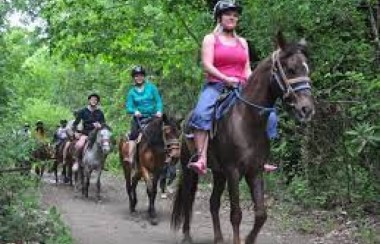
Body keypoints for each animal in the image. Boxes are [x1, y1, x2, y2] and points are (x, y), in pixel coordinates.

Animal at [171, 32, 314, 244]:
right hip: (189, 169)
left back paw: (219, 238)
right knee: (189, 199)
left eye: (306, 68)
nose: (306, 109)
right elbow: (236, 214)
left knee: (213, 202)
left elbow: (261, 214)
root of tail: (187, 119)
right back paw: (187, 236)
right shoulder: (233, 171)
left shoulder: (254, 171)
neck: (248, 120)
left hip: (219, 173)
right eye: (290, 69)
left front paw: (249, 239)